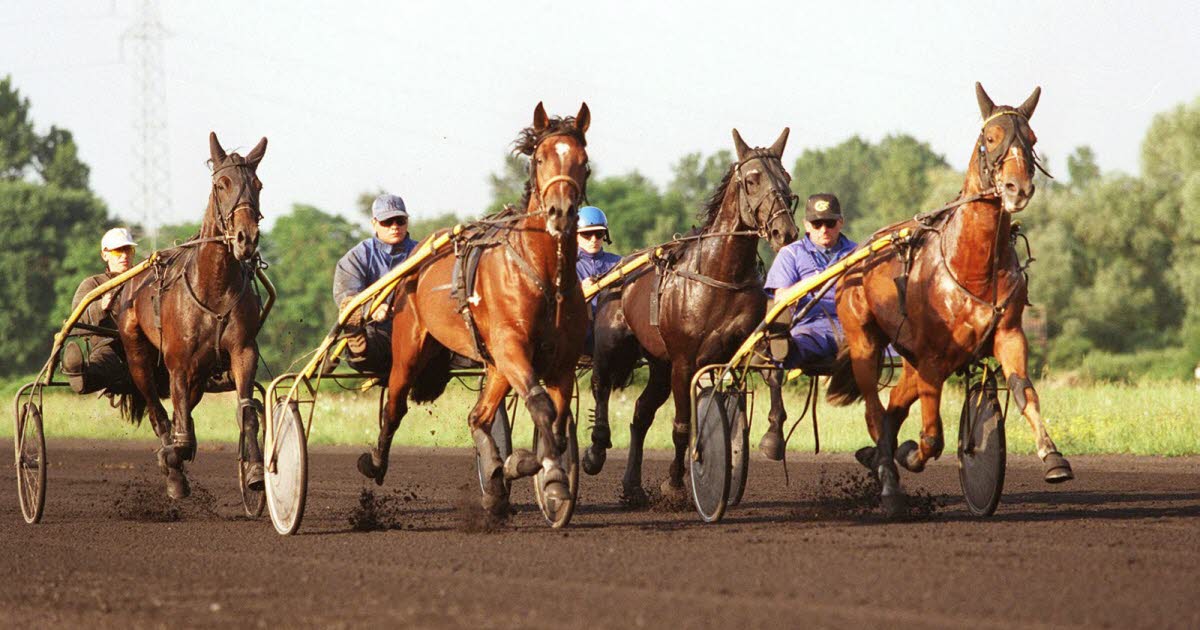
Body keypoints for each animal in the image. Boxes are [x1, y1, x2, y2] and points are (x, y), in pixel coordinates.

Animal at [118, 132, 269, 499]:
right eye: (221, 184)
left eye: (257, 184)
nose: (246, 238)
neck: (213, 285)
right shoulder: (178, 364)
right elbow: (180, 438)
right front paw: (172, 459)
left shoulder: (242, 351)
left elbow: (247, 413)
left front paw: (254, 472)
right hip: (138, 357)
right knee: (158, 413)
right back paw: (172, 468)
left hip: (201, 373)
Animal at [355, 102, 591, 517]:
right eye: (540, 158)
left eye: (583, 160)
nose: (560, 211)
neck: (545, 276)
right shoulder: (513, 348)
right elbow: (542, 408)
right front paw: (547, 476)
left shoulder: (560, 362)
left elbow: (559, 425)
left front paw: (534, 472)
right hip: (409, 349)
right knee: (394, 407)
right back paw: (377, 463)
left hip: (494, 365)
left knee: (478, 416)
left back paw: (496, 479)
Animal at [583, 128, 801, 504]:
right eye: (752, 179)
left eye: (785, 177)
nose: (784, 232)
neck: (721, 275)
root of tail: (617, 271)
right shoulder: (684, 360)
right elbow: (683, 426)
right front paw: (675, 483)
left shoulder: (745, 345)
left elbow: (773, 374)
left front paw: (772, 437)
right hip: (614, 345)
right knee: (601, 385)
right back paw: (596, 452)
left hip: (659, 364)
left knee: (641, 414)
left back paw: (632, 486)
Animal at [827, 83, 1073, 513]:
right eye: (989, 138)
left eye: (1031, 139)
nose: (1018, 189)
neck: (971, 267)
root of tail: (859, 253)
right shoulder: (932, 357)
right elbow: (931, 437)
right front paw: (909, 455)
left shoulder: (1008, 334)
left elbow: (1025, 392)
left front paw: (1053, 457)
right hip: (865, 340)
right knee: (876, 411)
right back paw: (888, 479)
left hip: (911, 358)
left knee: (894, 406)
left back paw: (878, 457)